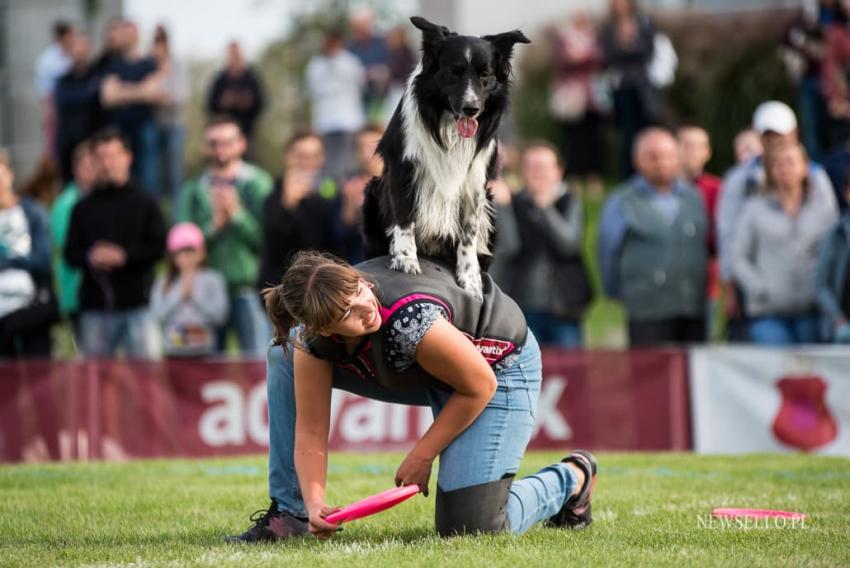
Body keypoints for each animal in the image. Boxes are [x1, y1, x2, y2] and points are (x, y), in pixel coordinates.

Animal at [362, 16, 528, 300]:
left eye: (485, 75)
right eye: (454, 71)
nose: (471, 109)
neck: (447, 125)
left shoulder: (476, 184)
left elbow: (468, 235)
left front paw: (470, 280)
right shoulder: (403, 168)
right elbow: (405, 217)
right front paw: (405, 258)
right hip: (373, 190)